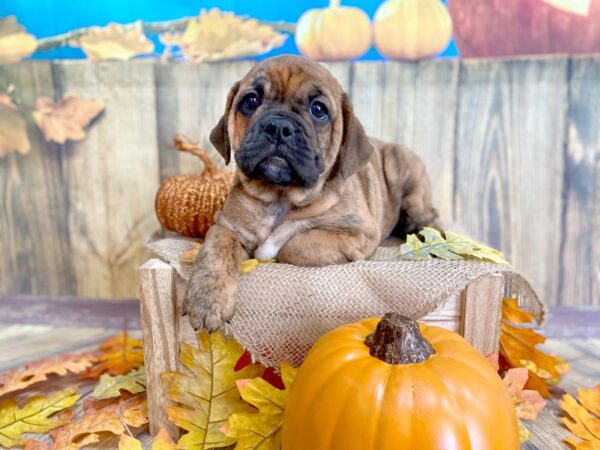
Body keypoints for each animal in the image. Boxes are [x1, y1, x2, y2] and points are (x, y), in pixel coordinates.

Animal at [182, 55, 436, 330]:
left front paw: (272, 248)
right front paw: (207, 300)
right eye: (251, 101)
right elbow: (216, 249)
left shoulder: (360, 232)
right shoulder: (227, 226)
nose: (278, 126)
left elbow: (297, 243)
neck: (281, 198)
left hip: (405, 172)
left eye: (318, 110)